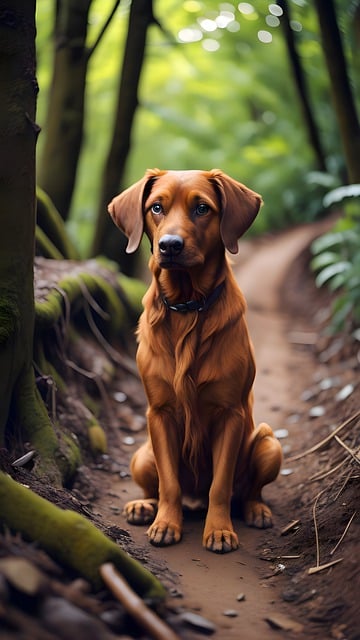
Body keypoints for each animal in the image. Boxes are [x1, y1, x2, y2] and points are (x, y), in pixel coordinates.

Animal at [108, 170, 282, 556]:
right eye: (156, 207)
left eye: (202, 208)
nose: (170, 245)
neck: (187, 306)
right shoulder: (159, 413)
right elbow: (169, 483)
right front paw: (166, 524)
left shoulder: (230, 413)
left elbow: (220, 484)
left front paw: (218, 530)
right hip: (142, 456)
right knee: (156, 486)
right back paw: (145, 506)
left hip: (268, 442)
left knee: (249, 490)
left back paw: (256, 510)